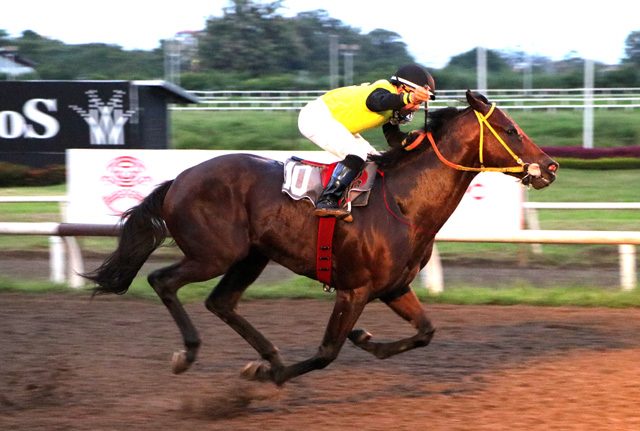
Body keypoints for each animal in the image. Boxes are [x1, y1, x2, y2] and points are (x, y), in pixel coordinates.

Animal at [84, 90, 558, 385]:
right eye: (512, 131)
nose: (550, 166)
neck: (403, 204)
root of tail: (179, 179)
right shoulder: (355, 289)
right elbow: (327, 351)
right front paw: (271, 375)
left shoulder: (394, 287)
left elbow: (425, 331)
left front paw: (362, 338)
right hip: (214, 254)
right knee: (162, 281)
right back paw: (191, 353)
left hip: (250, 256)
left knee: (221, 302)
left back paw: (270, 354)